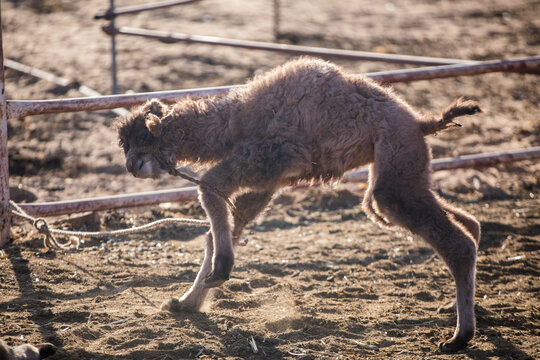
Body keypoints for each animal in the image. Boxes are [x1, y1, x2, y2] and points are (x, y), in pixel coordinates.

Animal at [114, 57, 480, 352]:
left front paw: (219, 272)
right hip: (398, 172)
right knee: (465, 224)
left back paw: (458, 338)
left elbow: (210, 192)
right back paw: (453, 307)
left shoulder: (268, 157)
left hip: (394, 164)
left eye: (142, 137)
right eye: (125, 145)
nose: (132, 166)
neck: (236, 121)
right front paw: (186, 302)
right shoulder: (268, 181)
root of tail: (420, 122)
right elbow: (223, 228)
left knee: (455, 241)